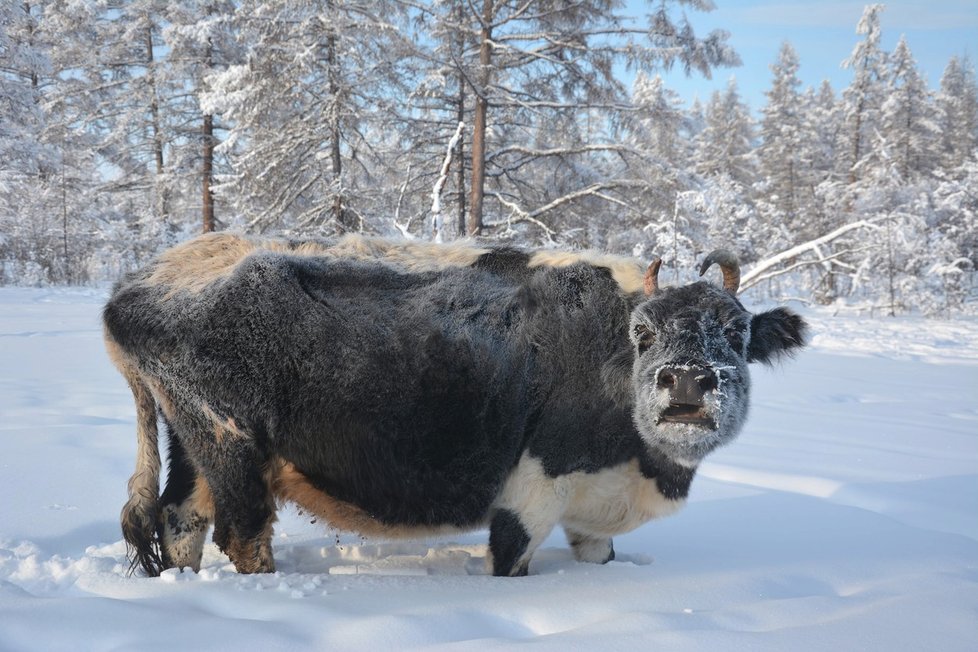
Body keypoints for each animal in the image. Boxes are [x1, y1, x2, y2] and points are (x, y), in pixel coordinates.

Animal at [103, 238, 804, 576]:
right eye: (643, 332)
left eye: (736, 331)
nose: (686, 383)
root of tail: (139, 283)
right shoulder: (531, 495)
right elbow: (509, 563)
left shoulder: (592, 508)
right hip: (231, 447)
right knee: (242, 536)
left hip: (194, 447)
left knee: (181, 520)